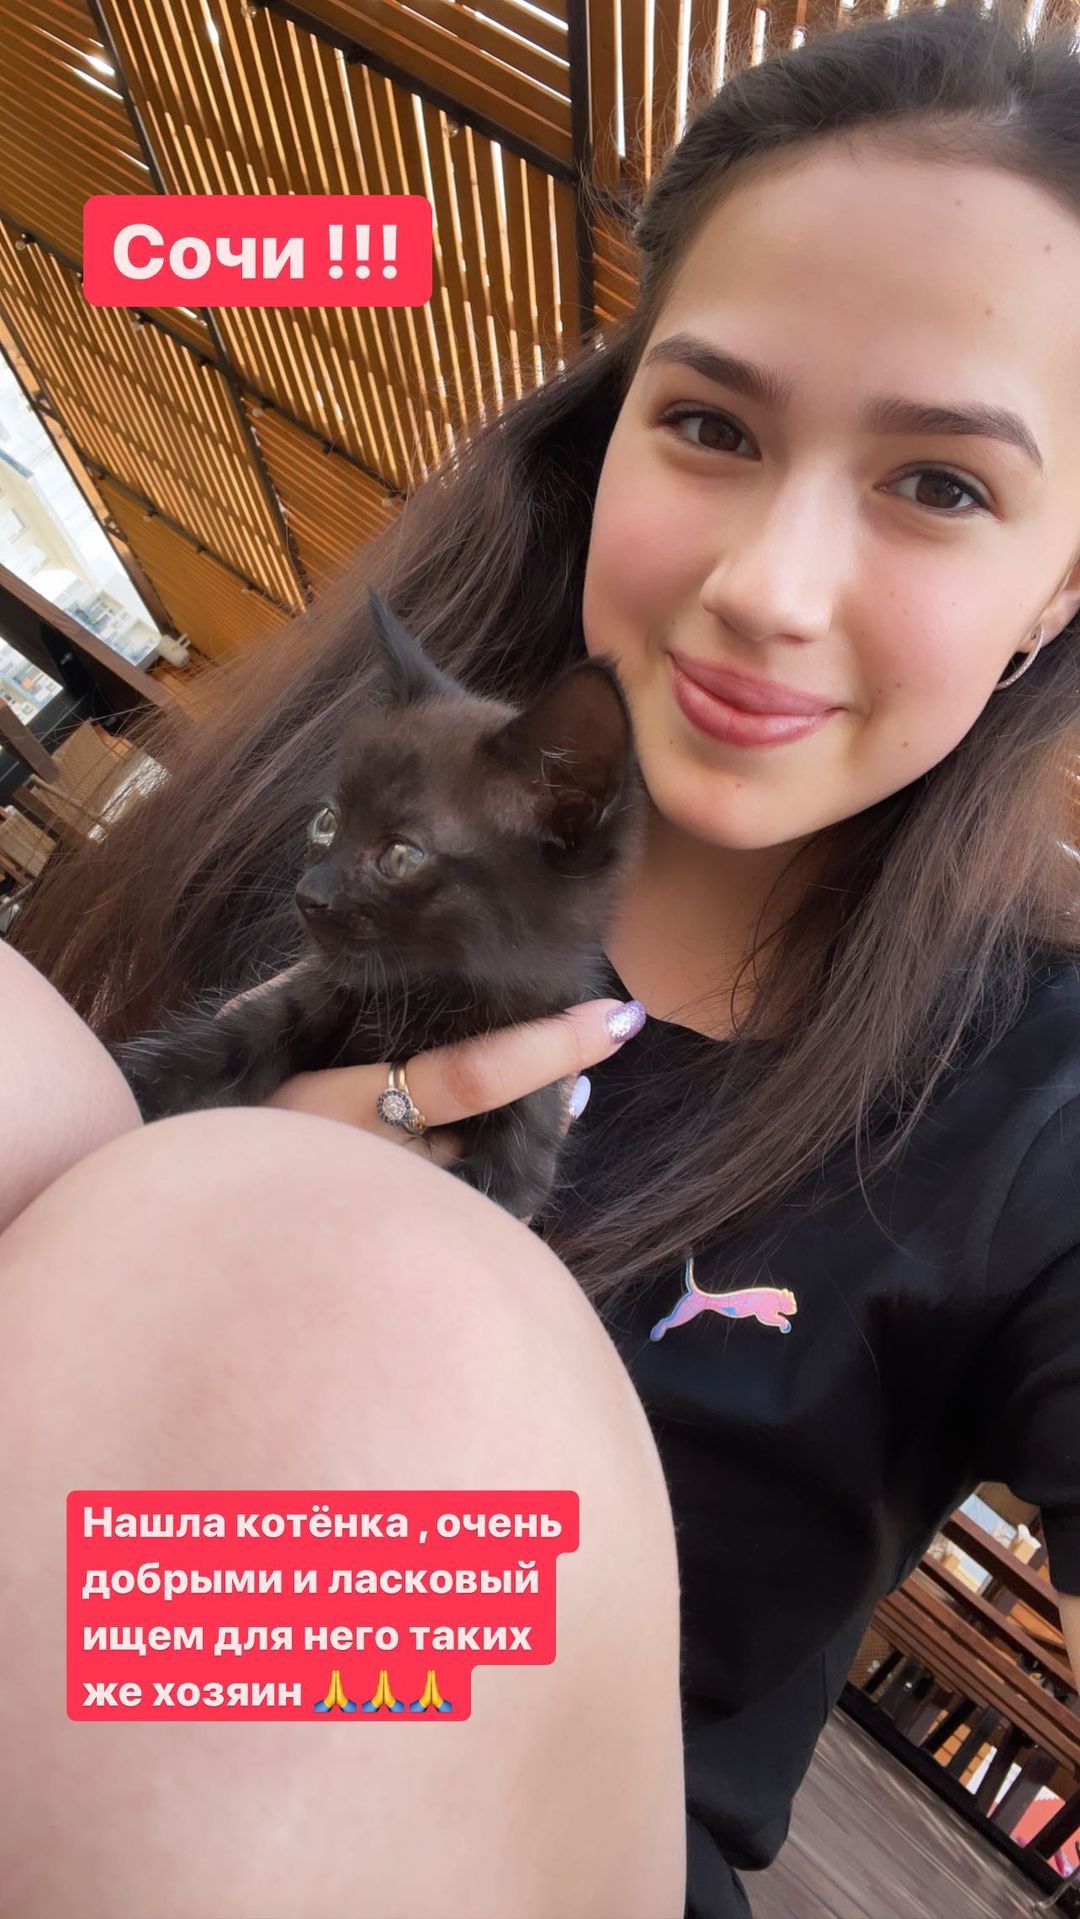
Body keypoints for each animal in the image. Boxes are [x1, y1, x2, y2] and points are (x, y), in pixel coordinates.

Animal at [110, 586, 647, 1221]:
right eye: (327, 821)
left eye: (400, 856)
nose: (308, 894)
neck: (427, 999)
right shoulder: (322, 992)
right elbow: (236, 1036)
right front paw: (137, 1079)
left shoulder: (533, 1113)